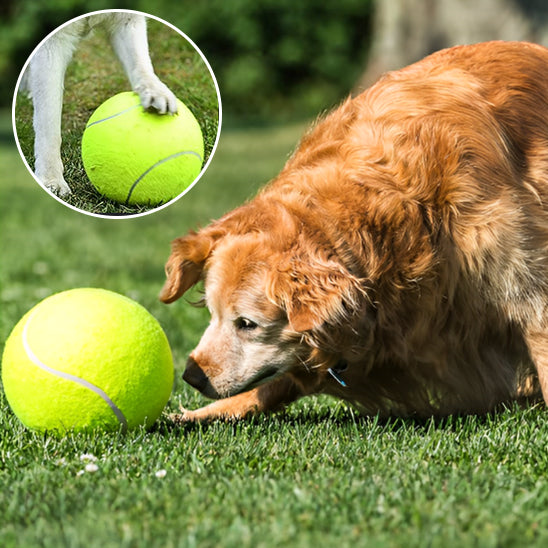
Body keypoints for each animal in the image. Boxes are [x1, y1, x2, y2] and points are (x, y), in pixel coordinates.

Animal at [161, 41, 544, 424]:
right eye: (212, 313)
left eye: (247, 323)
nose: (191, 376)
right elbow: (280, 381)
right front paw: (199, 415)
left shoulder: (523, 283)